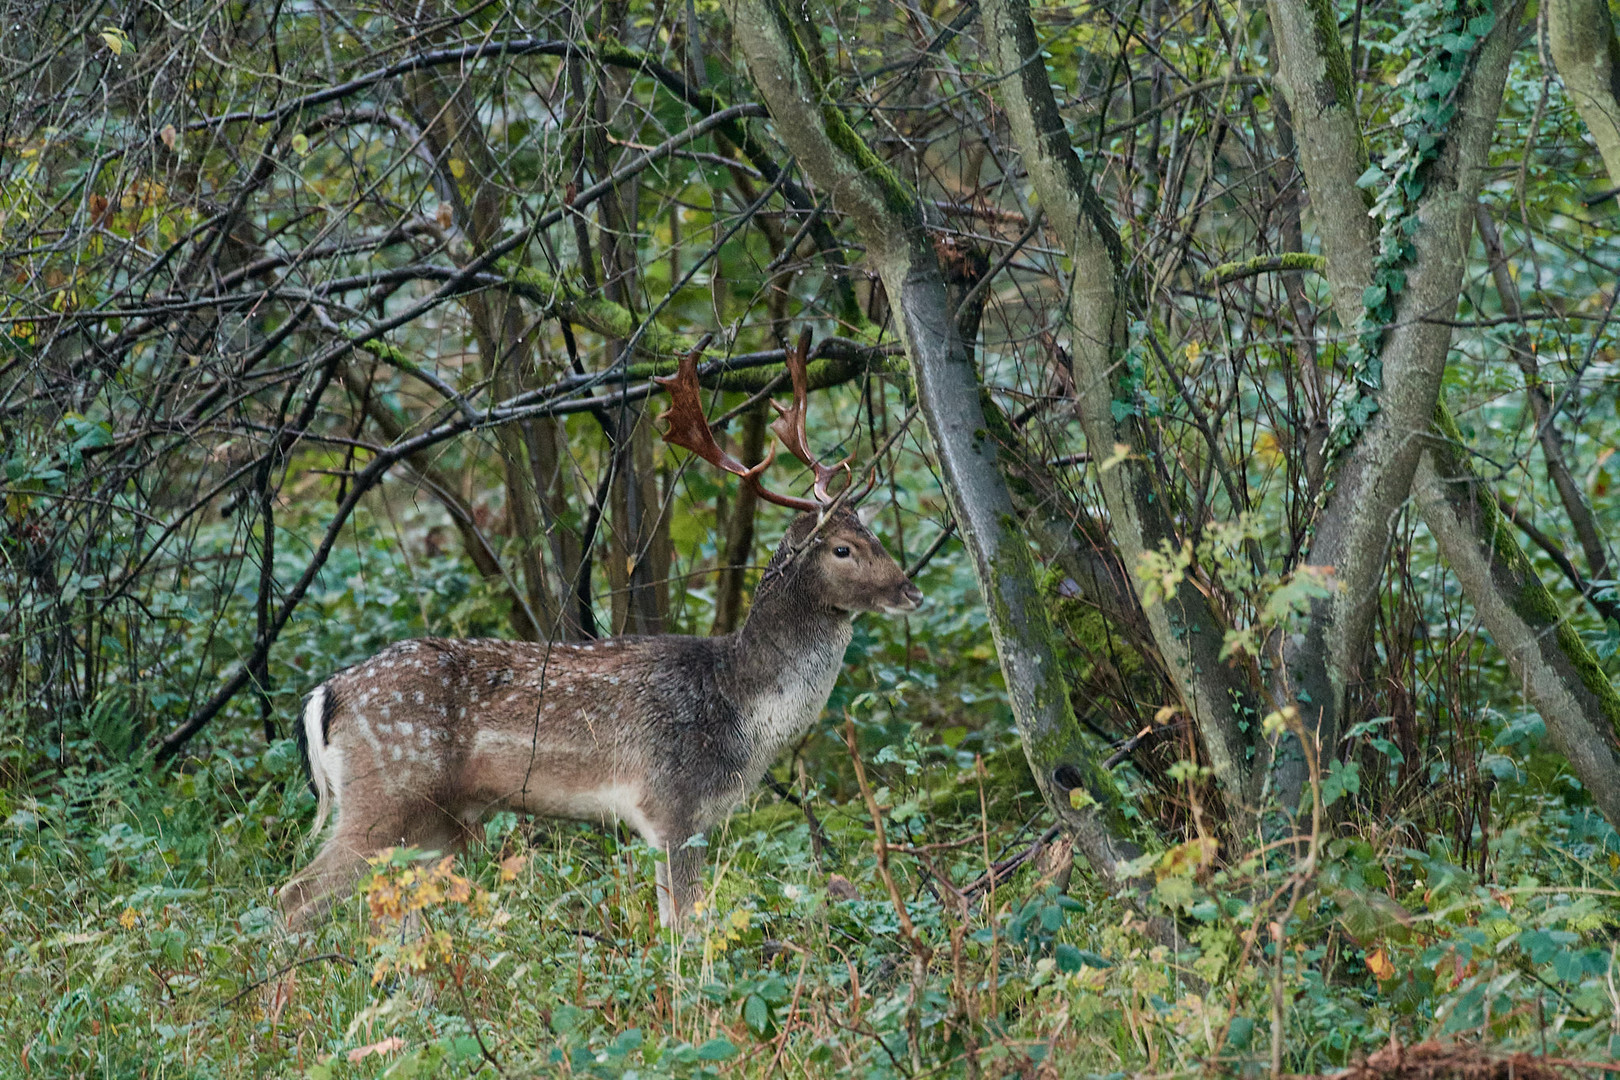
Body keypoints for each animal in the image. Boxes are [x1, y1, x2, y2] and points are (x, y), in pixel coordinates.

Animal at [281, 327, 926, 932]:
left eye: (872, 533)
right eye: (842, 549)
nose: (910, 591)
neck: (743, 709)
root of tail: (325, 695)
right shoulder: (672, 802)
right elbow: (684, 924)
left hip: (432, 824)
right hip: (386, 793)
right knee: (294, 896)